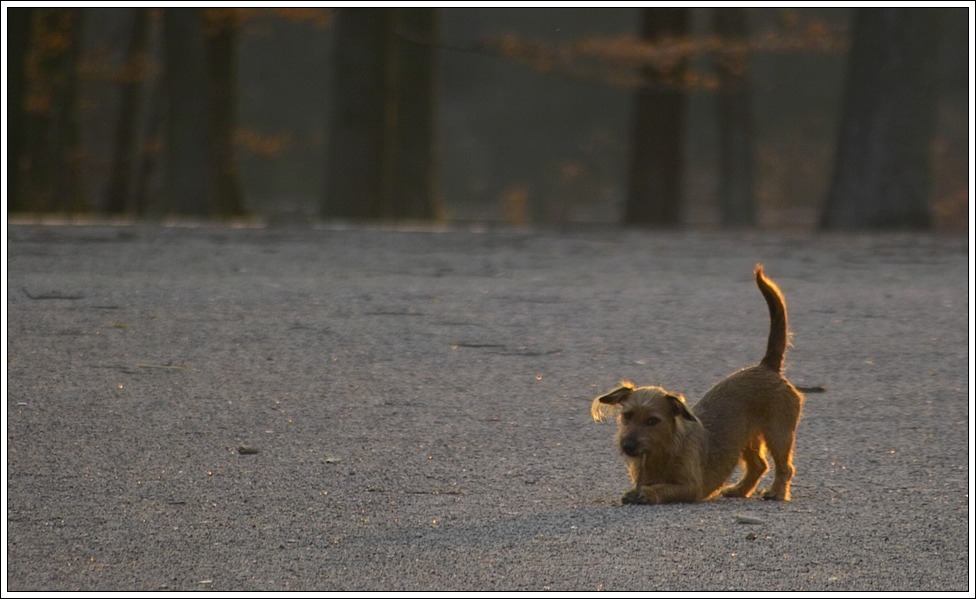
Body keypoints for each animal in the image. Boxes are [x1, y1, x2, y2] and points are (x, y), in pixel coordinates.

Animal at [592, 264, 804, 504]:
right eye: (627, 416)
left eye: (652, 421)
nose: (627, 446)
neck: (663, 449)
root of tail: (767, 366)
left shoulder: (691, 487)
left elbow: (663, 488)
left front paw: (647, 493)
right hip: (745, 437)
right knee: (759, 465)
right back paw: (739, 490)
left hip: (778, 434)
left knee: (784, 467)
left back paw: (777, 492)